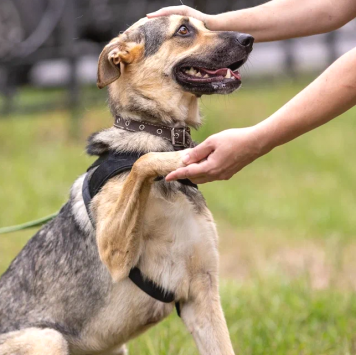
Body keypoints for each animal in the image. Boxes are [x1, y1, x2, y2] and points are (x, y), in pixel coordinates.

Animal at [0, 14, 253, 355]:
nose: (249, 39)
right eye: (183, 30)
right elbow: (143, 162)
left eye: (204, 25)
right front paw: (181, 158)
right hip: (48, 338)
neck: (151, 128)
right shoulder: (114, 252)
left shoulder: (202, 294)